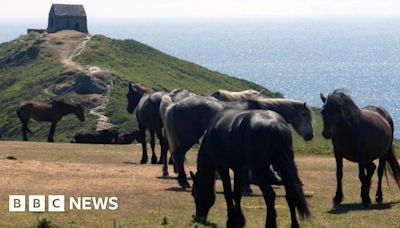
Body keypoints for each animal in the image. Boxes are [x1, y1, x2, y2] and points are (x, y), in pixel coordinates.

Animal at [159, 94, 312, 189]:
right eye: (304, 115)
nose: (310, 135)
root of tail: (176, 105)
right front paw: (247, 187)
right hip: (188, 138)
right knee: (178, 155)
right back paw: (184, 182)